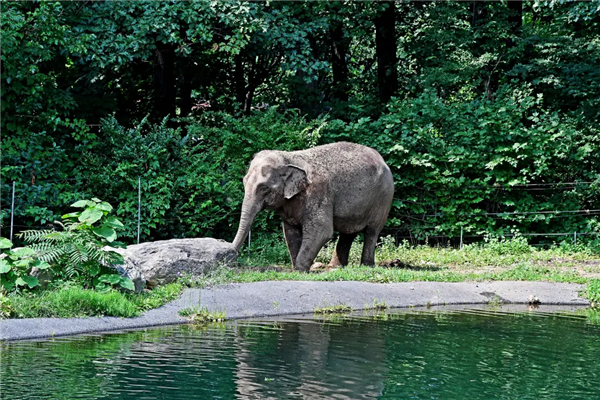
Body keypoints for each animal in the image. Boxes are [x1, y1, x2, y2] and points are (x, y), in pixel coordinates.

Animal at [232, 141, 396, 272]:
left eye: (264, 188)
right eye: (244, 182)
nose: (231, 255)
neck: (290, 158)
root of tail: (382, 159)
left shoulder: (318, 193)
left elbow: (322, 230)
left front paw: (300, 270)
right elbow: (290, 232)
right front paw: (296, 269)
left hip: (383, 198)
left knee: (372, 231)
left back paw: (366, 266)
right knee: (348, 232)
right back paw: (335, 267)